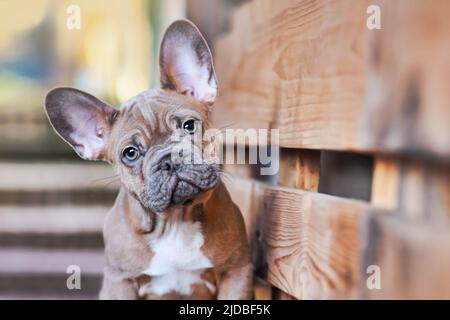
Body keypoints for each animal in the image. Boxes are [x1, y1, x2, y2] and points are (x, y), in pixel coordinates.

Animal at [44, 19, 253, 300]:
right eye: (130, 153)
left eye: (189, 126)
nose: (170, 160)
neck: (176, 220)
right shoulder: (120, 282)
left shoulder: (236, 271)